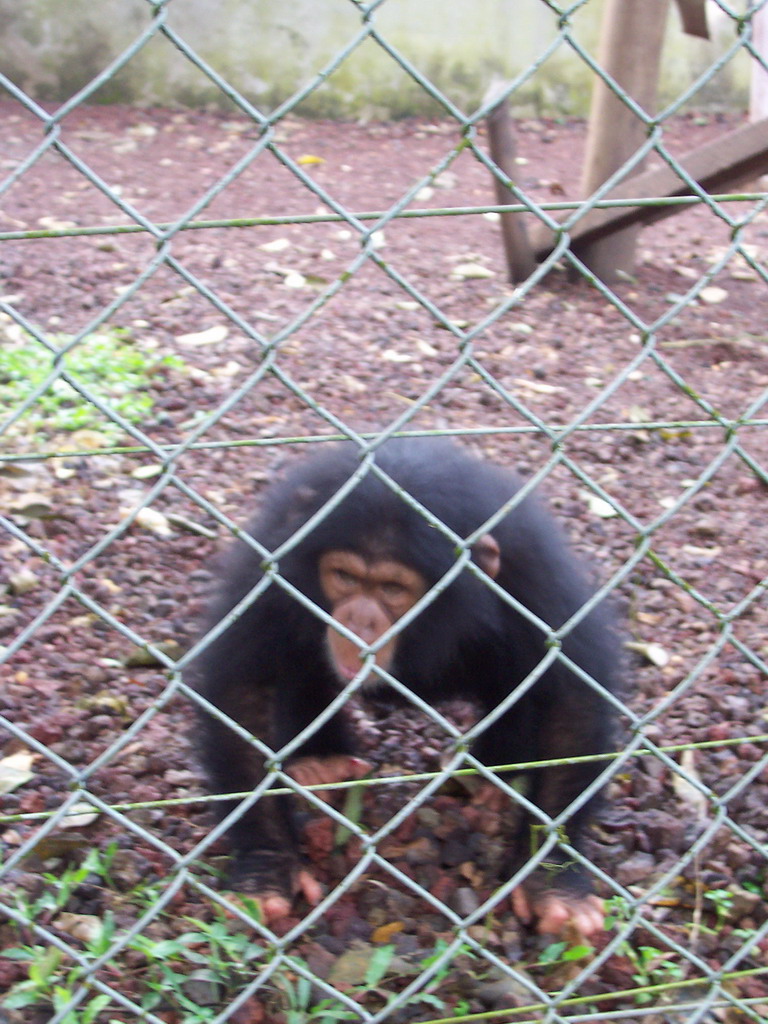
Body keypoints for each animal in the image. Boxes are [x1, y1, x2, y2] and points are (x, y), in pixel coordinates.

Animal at [192, 438, 618, 937]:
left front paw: (553, 880)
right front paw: (266, 866)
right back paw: (321, 761)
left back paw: (494, 771)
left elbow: (572, 700)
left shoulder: (531, 569)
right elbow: (241, 691)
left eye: (393, 588)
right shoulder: (274, 562)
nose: (358, 619)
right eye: (345, 577)